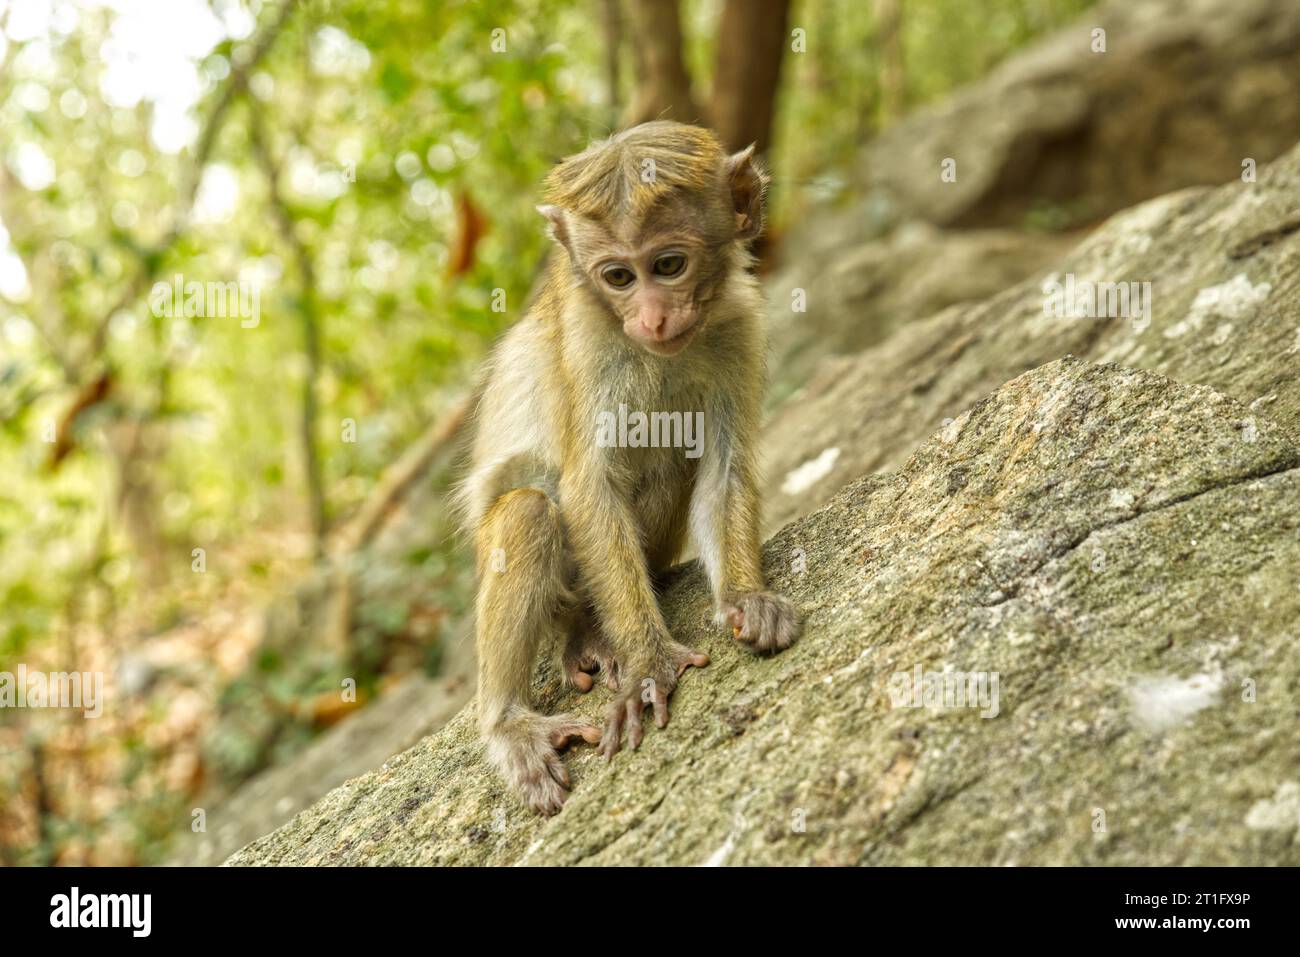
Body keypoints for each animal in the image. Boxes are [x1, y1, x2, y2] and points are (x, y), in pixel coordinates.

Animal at [455, 121, 801, 815]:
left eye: (668, 265)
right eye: (617, 276)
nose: (651, 317)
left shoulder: (738, 323)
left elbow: (723, 467)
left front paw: (746, 597)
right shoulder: (589, 339)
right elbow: (589, 486)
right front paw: (646, 663)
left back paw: (593, 630)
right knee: (529, 510)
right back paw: (513, 719)